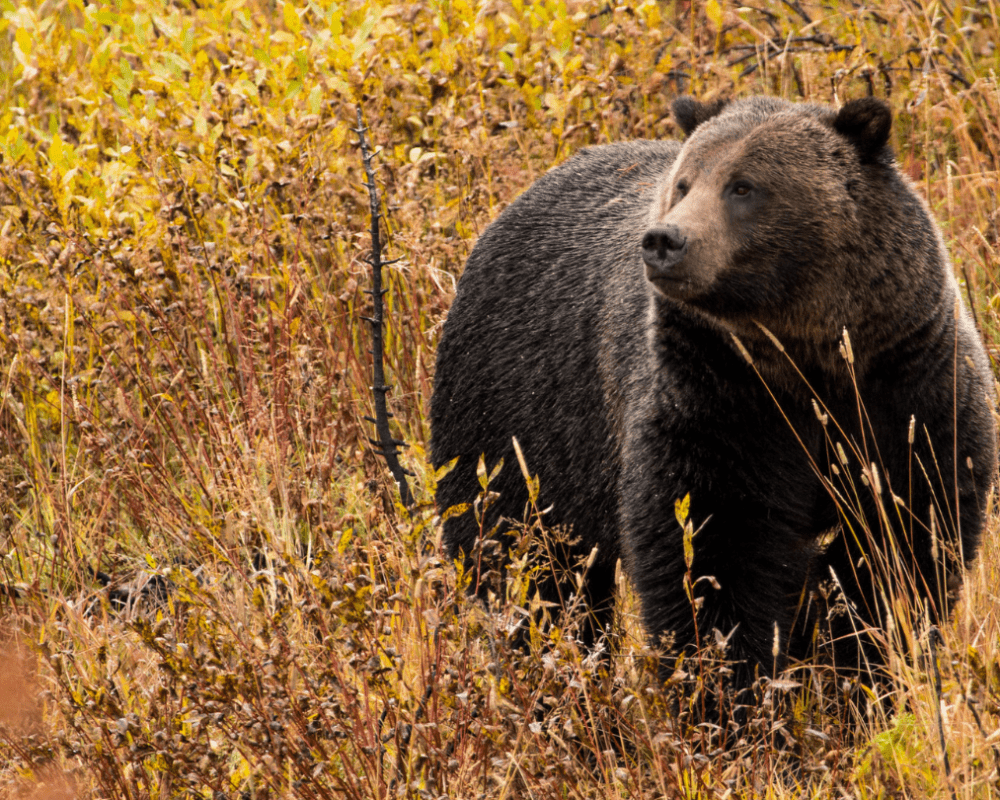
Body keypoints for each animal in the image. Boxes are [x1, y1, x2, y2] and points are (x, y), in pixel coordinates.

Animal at [432, 97, 1000, 692]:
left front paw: (853, 664)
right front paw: (729, 682)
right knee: (527, 561)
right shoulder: (716, 396)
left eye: (743, 186)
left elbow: (904, 539)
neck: (808, 362)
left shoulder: (908, 388)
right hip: (519, 416)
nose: (663, 241)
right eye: (684, 183)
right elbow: (712, 548)